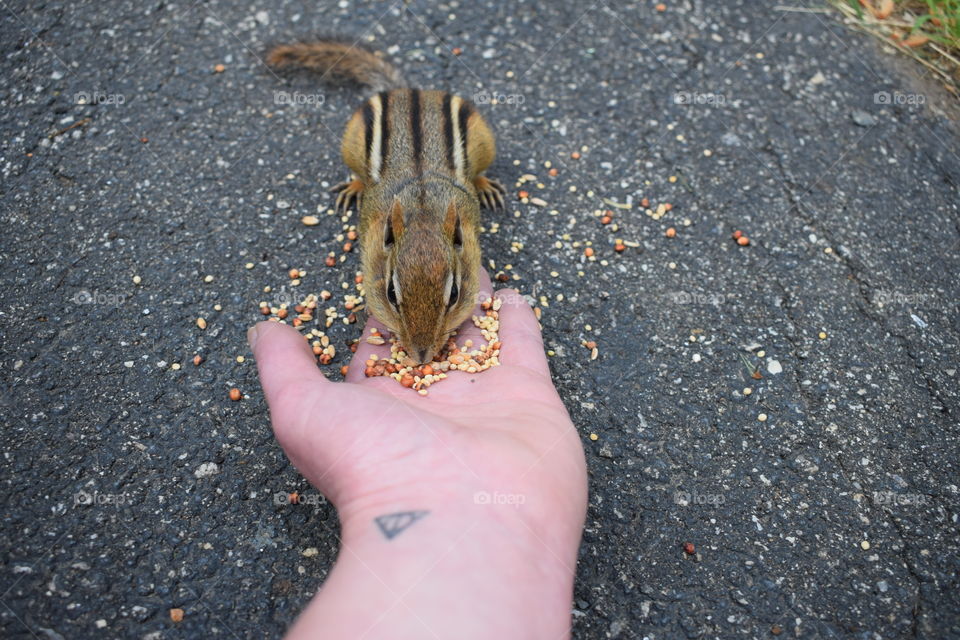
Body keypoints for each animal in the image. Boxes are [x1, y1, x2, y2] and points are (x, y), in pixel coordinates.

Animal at [266, 40, 506, 365]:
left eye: (455, 294)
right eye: (391, 294)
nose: (421, 356)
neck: (422, 206)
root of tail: (408, 91)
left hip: (484, 141)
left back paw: (485, 186)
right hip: (350, 144)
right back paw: (354, 187)